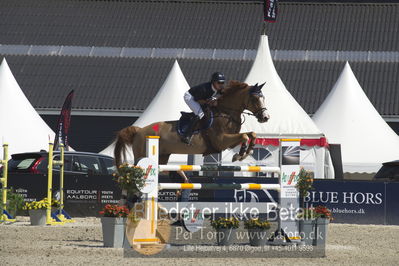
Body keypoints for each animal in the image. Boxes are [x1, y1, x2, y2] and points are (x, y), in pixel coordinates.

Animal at [115, 80, 272, 166]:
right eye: (255, 99)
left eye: (263, 98)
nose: (265, 117)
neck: (227, 112)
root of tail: (139, 131)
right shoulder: (221, 141)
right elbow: (245, 136)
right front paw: (238, 155)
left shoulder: (230, 140)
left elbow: (251, 134)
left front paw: (247, 152)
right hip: (142, 155)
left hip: (163, 157)